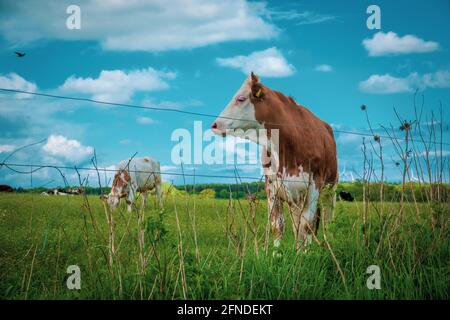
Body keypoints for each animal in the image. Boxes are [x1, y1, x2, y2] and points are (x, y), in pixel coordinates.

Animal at [212, 73, 338, 250]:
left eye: (241, 99)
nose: (215, 124)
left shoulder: (314, 185)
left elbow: (306, 225)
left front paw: (305, 253)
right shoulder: (272, 186)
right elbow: (277, 226)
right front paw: (277, 254)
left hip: (330, 188)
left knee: (326, 218)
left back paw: (326, 244)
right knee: (298, 223)